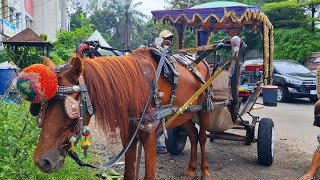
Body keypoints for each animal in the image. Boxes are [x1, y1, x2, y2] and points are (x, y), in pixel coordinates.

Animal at [32, 48, 211, 179]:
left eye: (70, 108)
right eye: (42, 107)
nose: (42, 161)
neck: (139, 85)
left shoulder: (150, 133)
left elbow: (149, 175)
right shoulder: (128, 134)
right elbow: (129, 174)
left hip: (204, 110)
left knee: (202, 137)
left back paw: (204, 170)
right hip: (184, 114)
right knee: (193, 135)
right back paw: (191, 168)